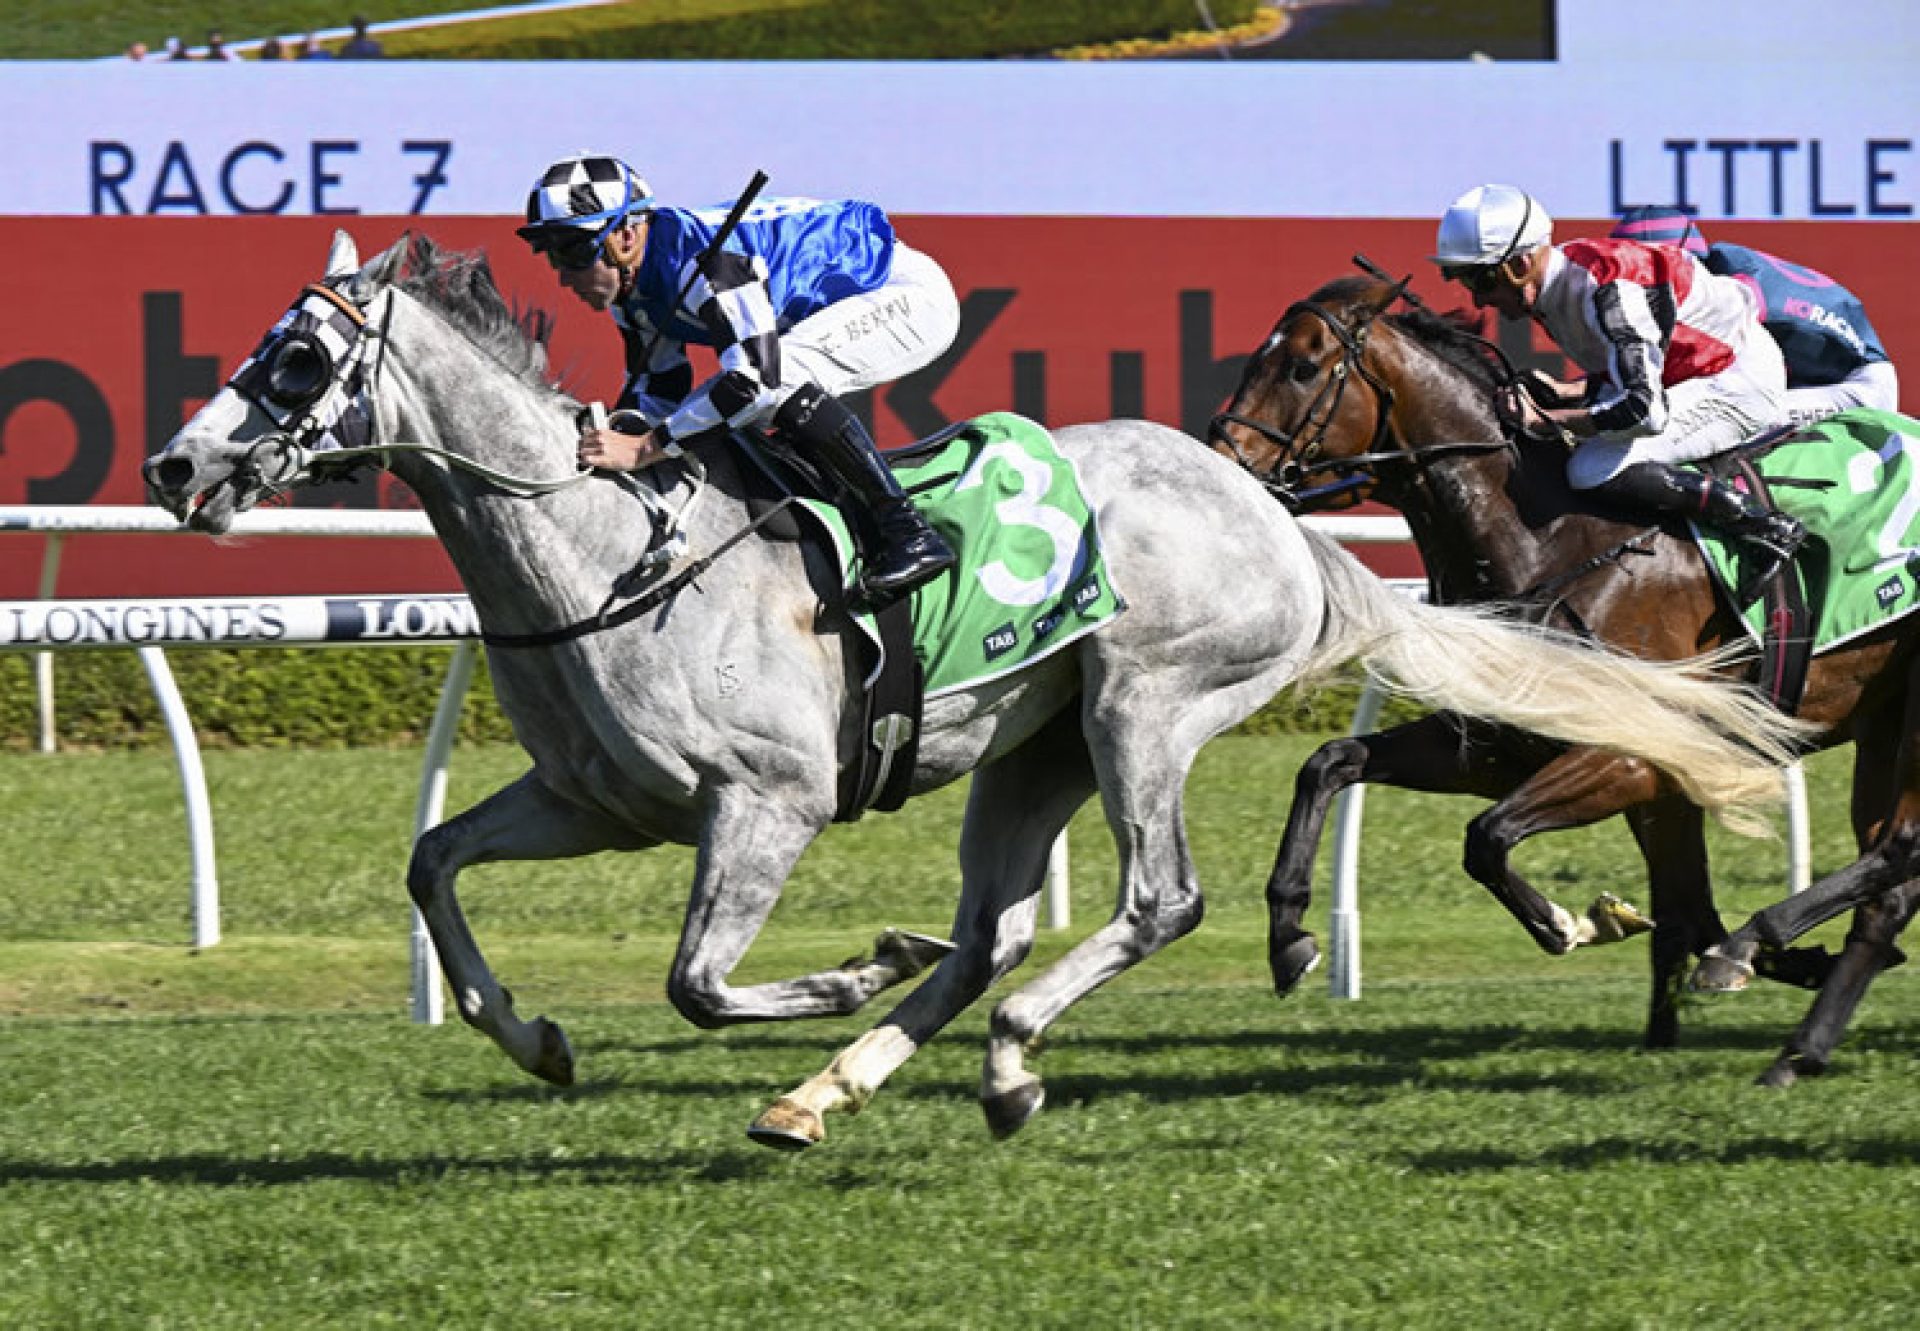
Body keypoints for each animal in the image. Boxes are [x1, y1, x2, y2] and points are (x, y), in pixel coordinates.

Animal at [142, 233, 1804, 1144]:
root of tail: (1272, 513)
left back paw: (996, 1049)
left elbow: (696, 979)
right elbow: (434, 862)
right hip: (1031, 745)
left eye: (294, 361)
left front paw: (842, 965)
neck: (614, 555)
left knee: (1152, 900)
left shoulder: (765, 803)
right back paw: (834, 1088)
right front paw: (534, 1036)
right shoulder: (593, 799)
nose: (173, 465)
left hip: (1144, 702)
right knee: (997, 927)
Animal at [1213, 266, 1920, 1083]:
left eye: (1301, 367)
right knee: (1888, 882)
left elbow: (1489, 836)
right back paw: (1798, 1042)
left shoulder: (1640, 752)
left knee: (1899, 849)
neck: (1548, 540)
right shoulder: (1502, 746)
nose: (1221, 464)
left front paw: (1570, 922)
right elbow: (1328, 763)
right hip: (1883, 723)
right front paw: (1289, 936)